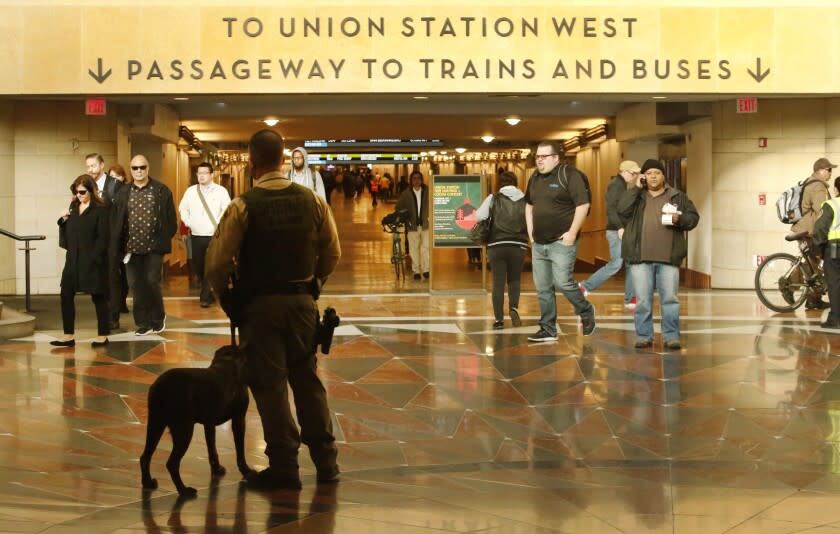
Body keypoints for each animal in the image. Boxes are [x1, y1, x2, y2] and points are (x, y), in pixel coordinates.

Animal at [139, 344, 253, 498]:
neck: (227, 361)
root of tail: (162, 387)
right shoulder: (239, 420)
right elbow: (240, 450)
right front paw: (246, 470)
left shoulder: (209, 424)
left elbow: (212, 450)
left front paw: (216, 469)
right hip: (184, 431)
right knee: (172, 463)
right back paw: (184, 490)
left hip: (156, 425)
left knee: (145, 457)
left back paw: (148, 483)